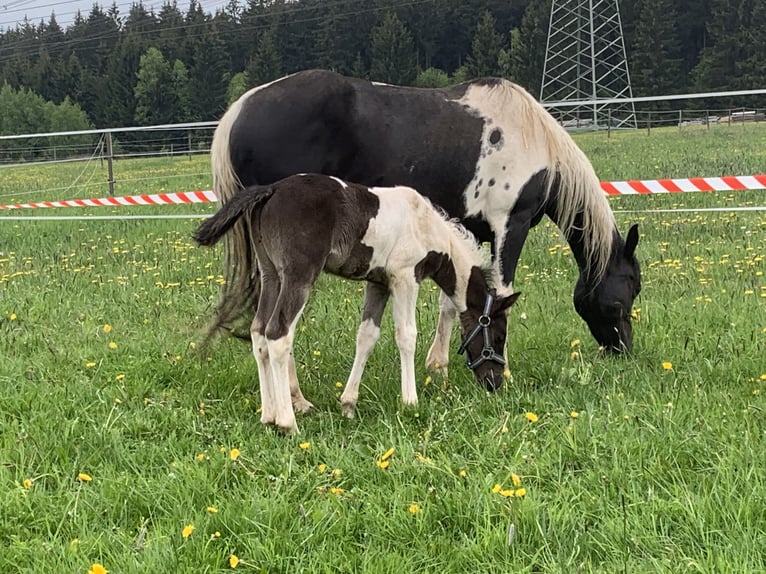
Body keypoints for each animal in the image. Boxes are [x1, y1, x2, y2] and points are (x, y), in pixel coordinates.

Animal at [192, 173, 520, 434]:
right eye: (498, 336)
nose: (494, 383)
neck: (426, 226)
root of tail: (271, 189)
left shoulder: (378, 283)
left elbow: (367, 336)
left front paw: (348, 404)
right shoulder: (405, 277)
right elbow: (406, 336)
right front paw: (410, 402)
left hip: (271, 275)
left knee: (258, 333)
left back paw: (268, 415)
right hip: (298, 276)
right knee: (278, 335)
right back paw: (288, 423)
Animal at [208, 68, 640, 368]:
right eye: (628, 293)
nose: (623, 350)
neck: (531, 138)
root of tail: (239, 110)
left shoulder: (467, 231)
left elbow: (456, 297)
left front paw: (440, 364)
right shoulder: (509, 226)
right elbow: (500, 292)